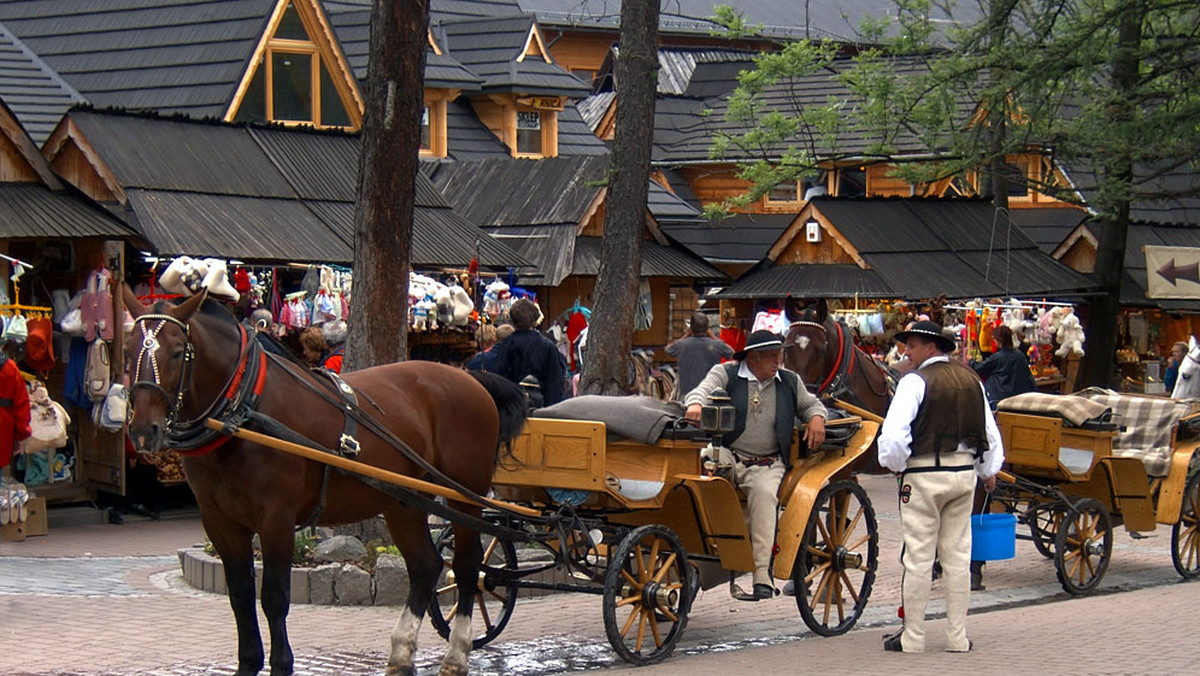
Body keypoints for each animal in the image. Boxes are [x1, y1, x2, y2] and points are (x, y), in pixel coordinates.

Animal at [120, 286, 525, 676]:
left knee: (468, 565)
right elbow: (240, 597)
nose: (142, 430)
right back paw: (401, 651)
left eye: (177, 352)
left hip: (463, 495)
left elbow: (274, 597)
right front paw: (248, 662)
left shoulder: (276, 517)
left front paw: (282, 664)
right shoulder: (220, 522)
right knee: (426, 565)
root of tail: (470, 377)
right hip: (405, 500)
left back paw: (456, 653)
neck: (244, 410)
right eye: (127, 349)